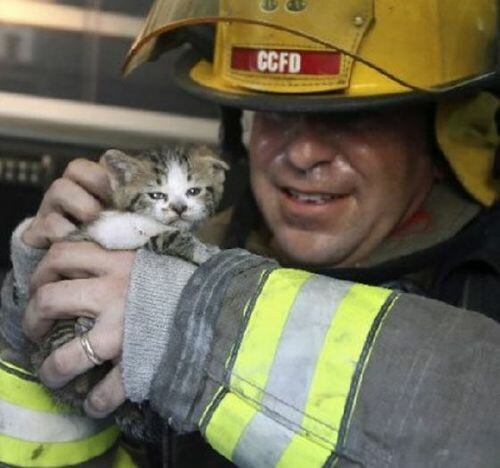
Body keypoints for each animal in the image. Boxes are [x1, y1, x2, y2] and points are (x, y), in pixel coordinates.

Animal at [29, 144, 229, 440]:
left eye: (193, 191)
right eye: (156, 195)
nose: (179, 208)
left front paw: (205, 247)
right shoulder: (118, 229)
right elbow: (167, 236)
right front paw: (203, 253)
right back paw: (80, 328)